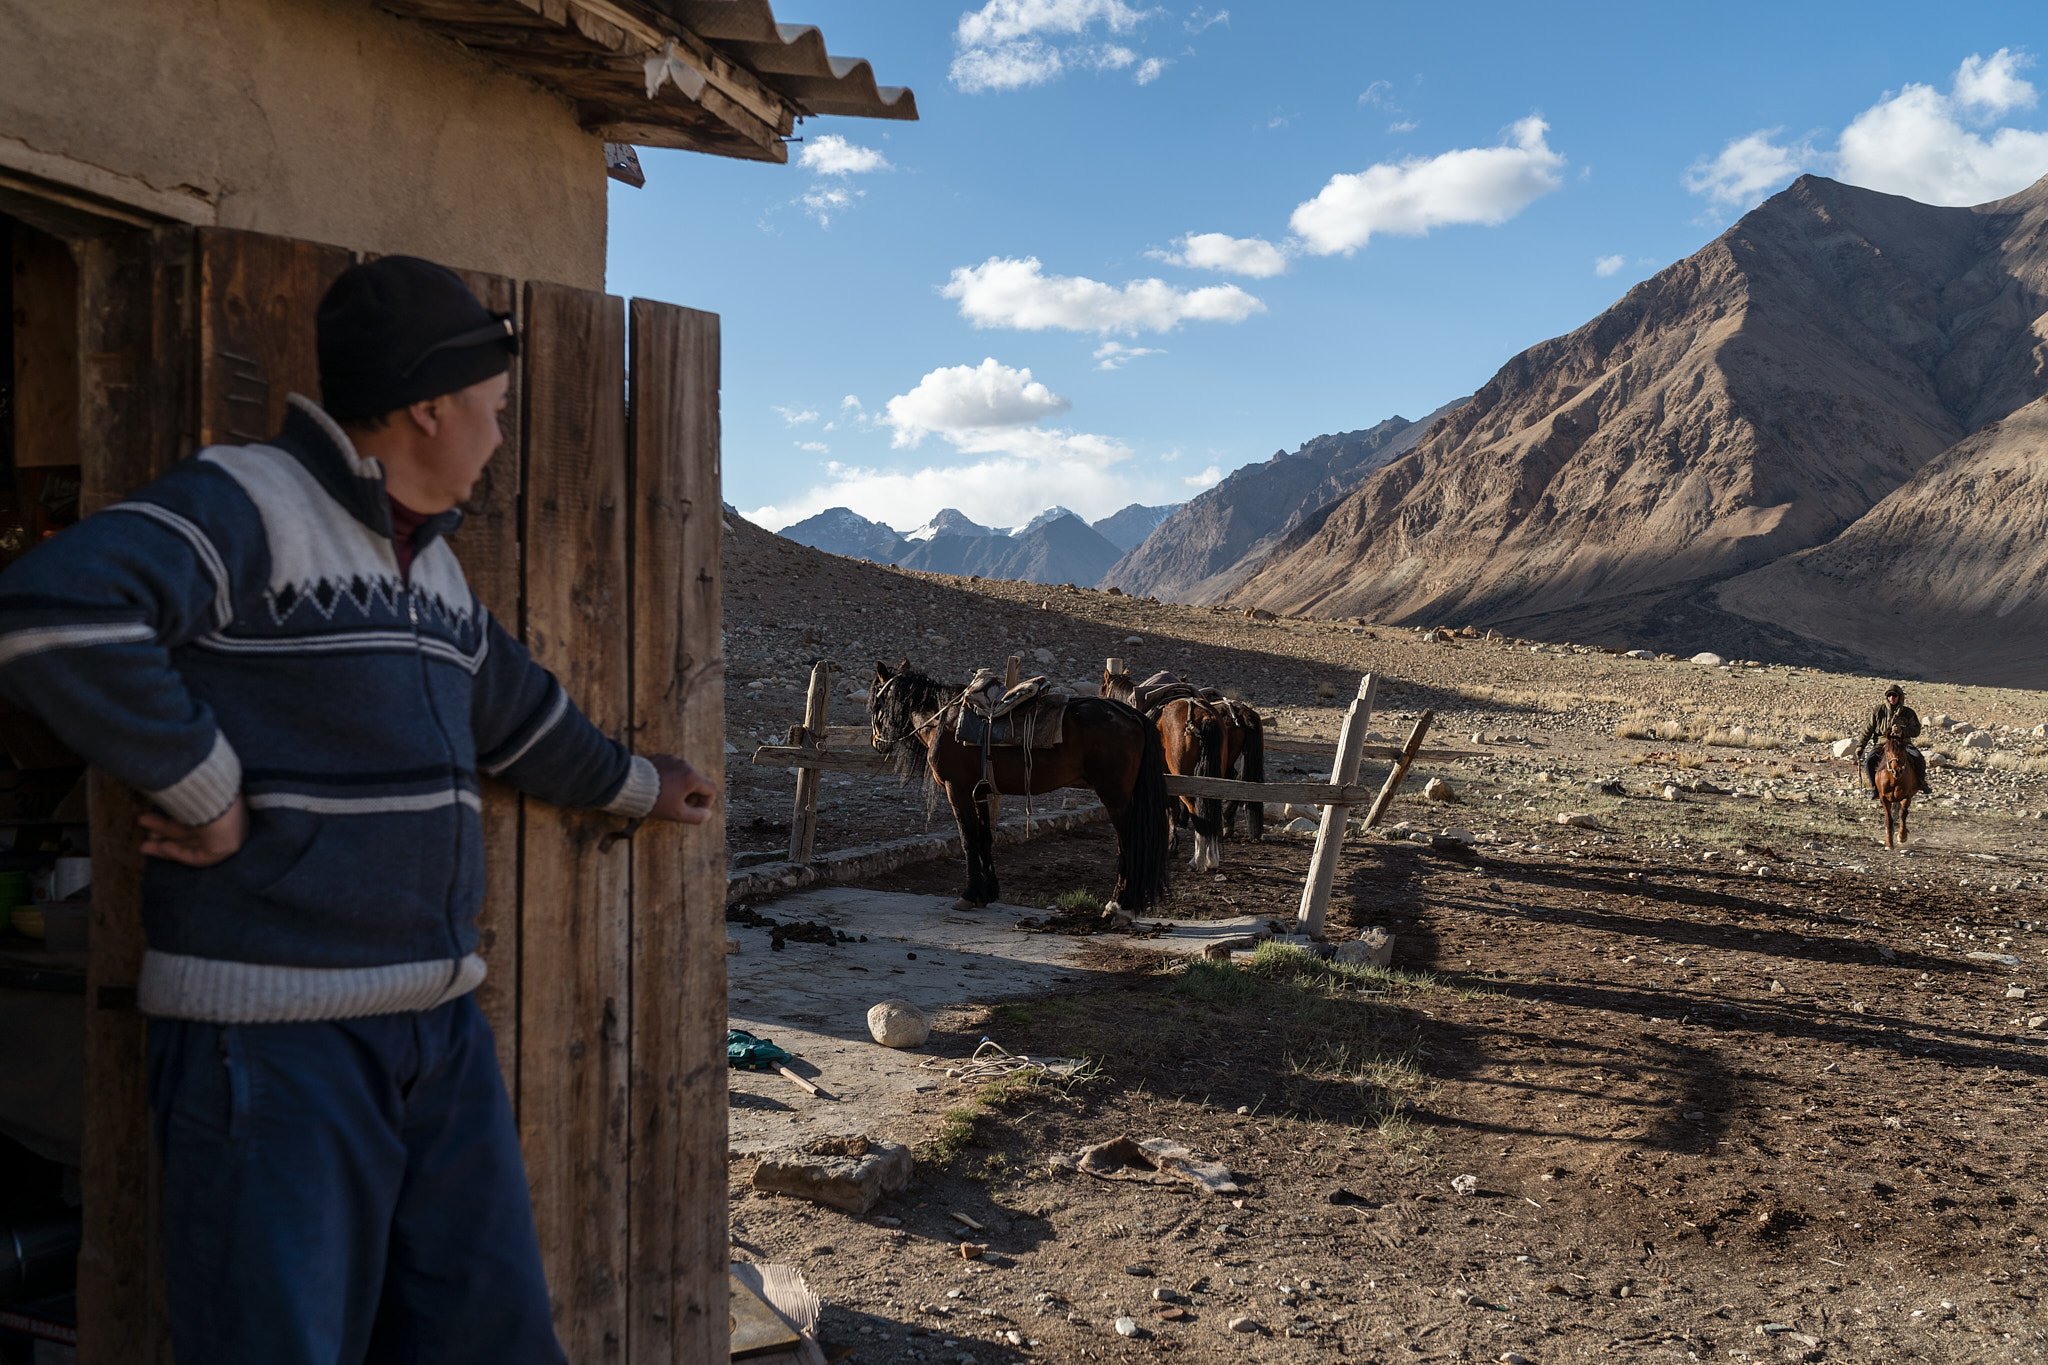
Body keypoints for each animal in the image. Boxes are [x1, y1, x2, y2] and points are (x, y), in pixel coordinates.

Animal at [868, 663, 1171, 916]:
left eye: (876, 702)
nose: (877, 742)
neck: (944, 721)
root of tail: (1131, 715)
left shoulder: (958, 790)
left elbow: (968, 840)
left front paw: (969, 894)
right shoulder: (980, 792)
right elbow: (984, 838)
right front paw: (987, 893)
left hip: (1115, 798)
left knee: (1128, 844)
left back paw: (1119, 906)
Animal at [1875, 724, 1916, 855]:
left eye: (1903, 750)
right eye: (1887, 750)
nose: (1896, 770)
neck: (1894, 780)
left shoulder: (1906, 796)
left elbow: (1902, 814)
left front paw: (1902, 837)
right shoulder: (1883, 798)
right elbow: (1889, 819)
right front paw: (1889, 843)